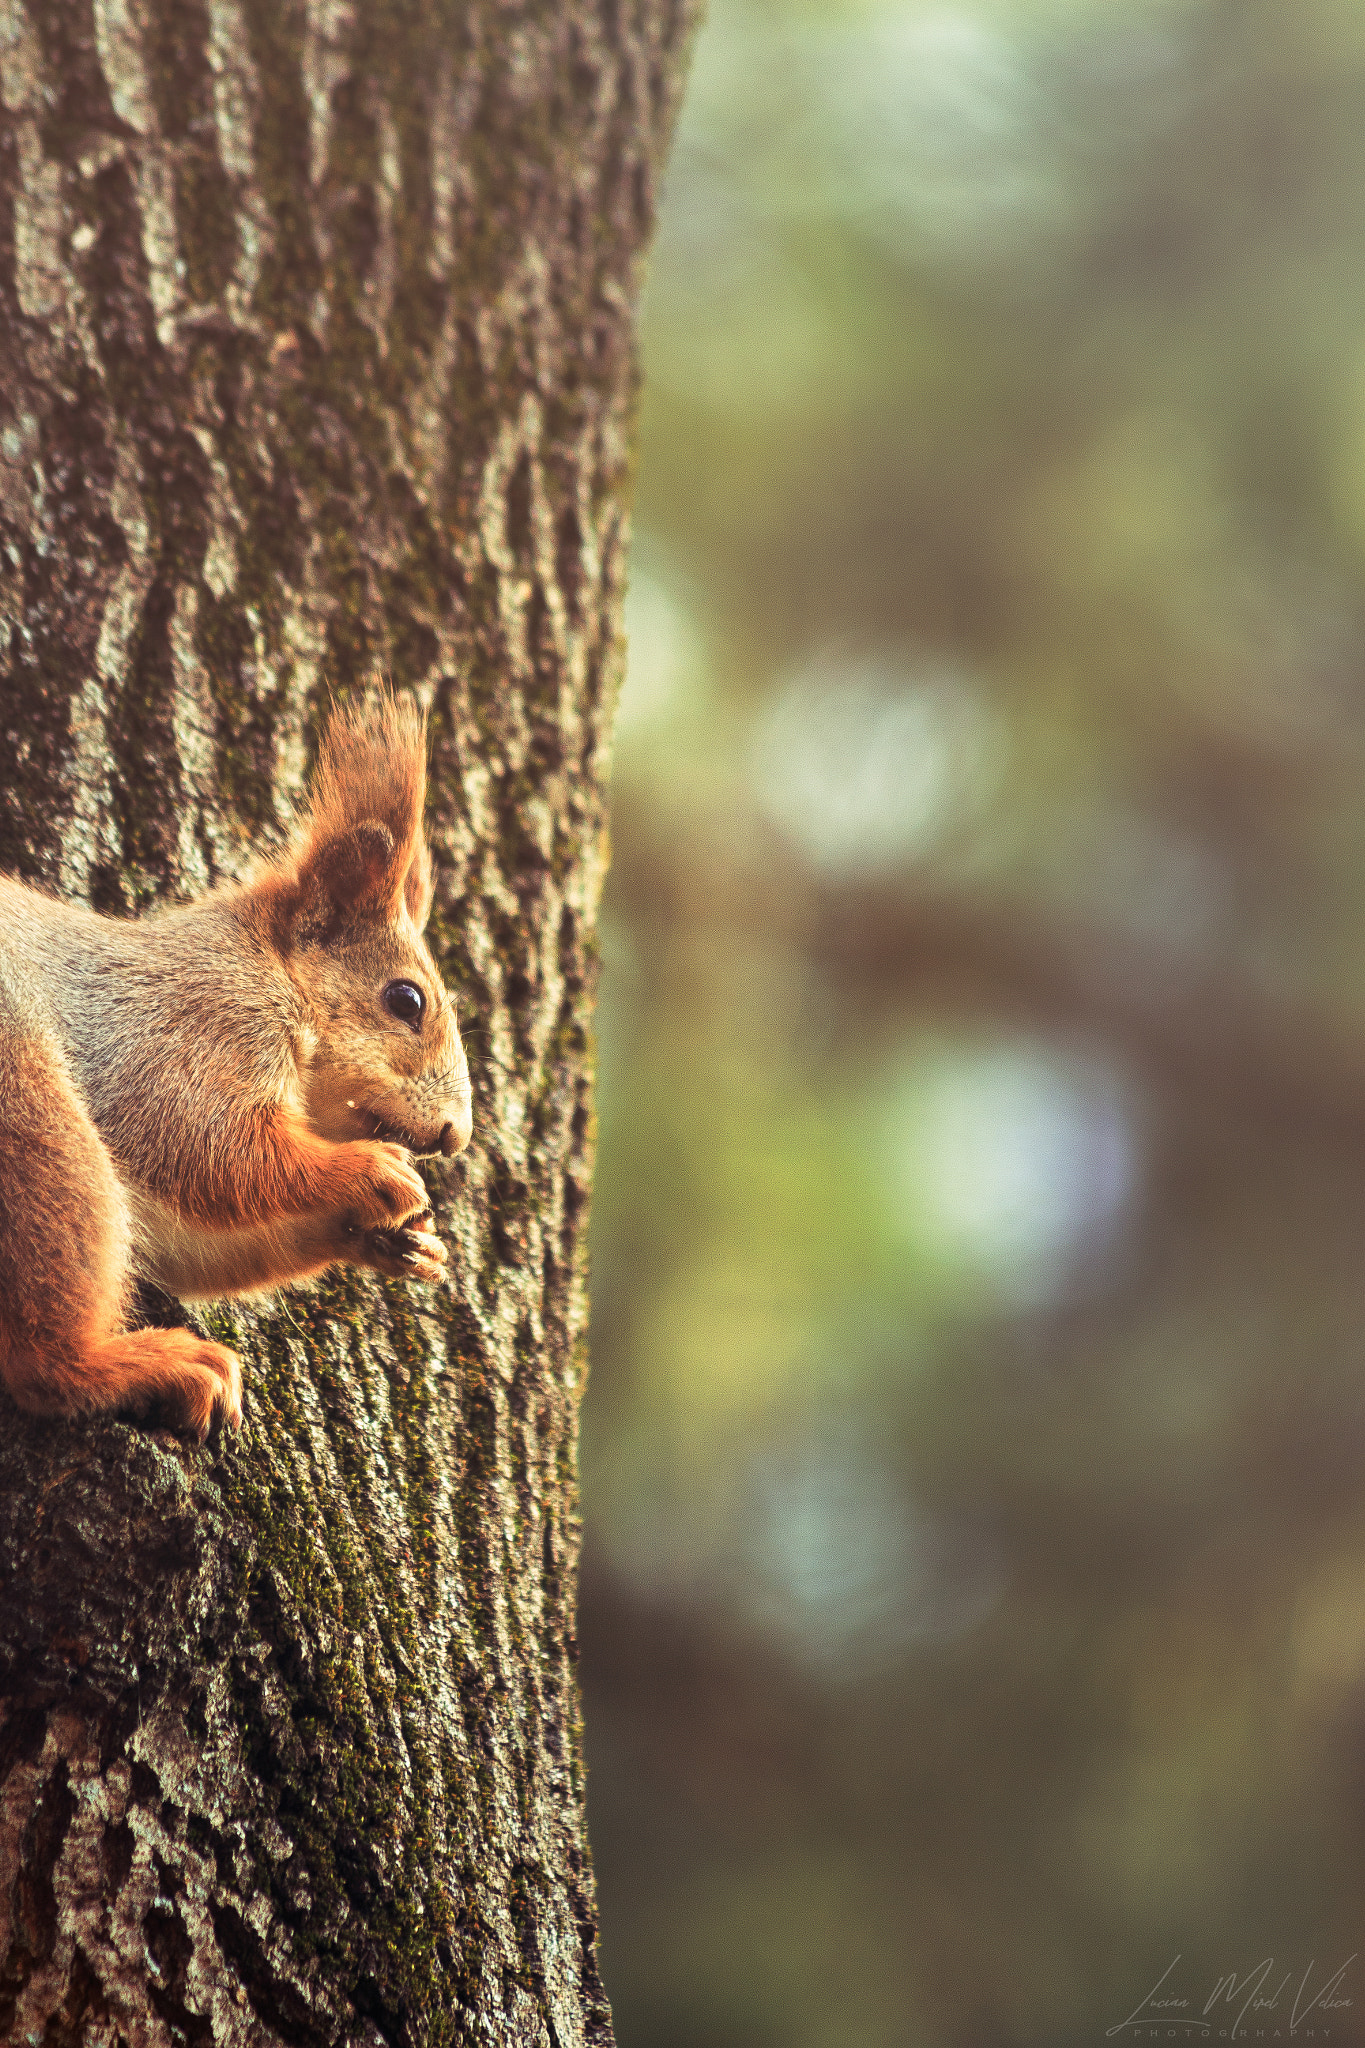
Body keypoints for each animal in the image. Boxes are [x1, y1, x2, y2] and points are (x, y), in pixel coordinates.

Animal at [0, 693, 472, 1442]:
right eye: (407, 1000)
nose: (458, 1135)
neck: (268, 967)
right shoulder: (192, 1026)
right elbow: (214, 1150)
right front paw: (370, 1173)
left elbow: (192, 1250)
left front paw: (394, 1241)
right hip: (34, 1120)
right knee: (40, 1364)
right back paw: (143, 1367)